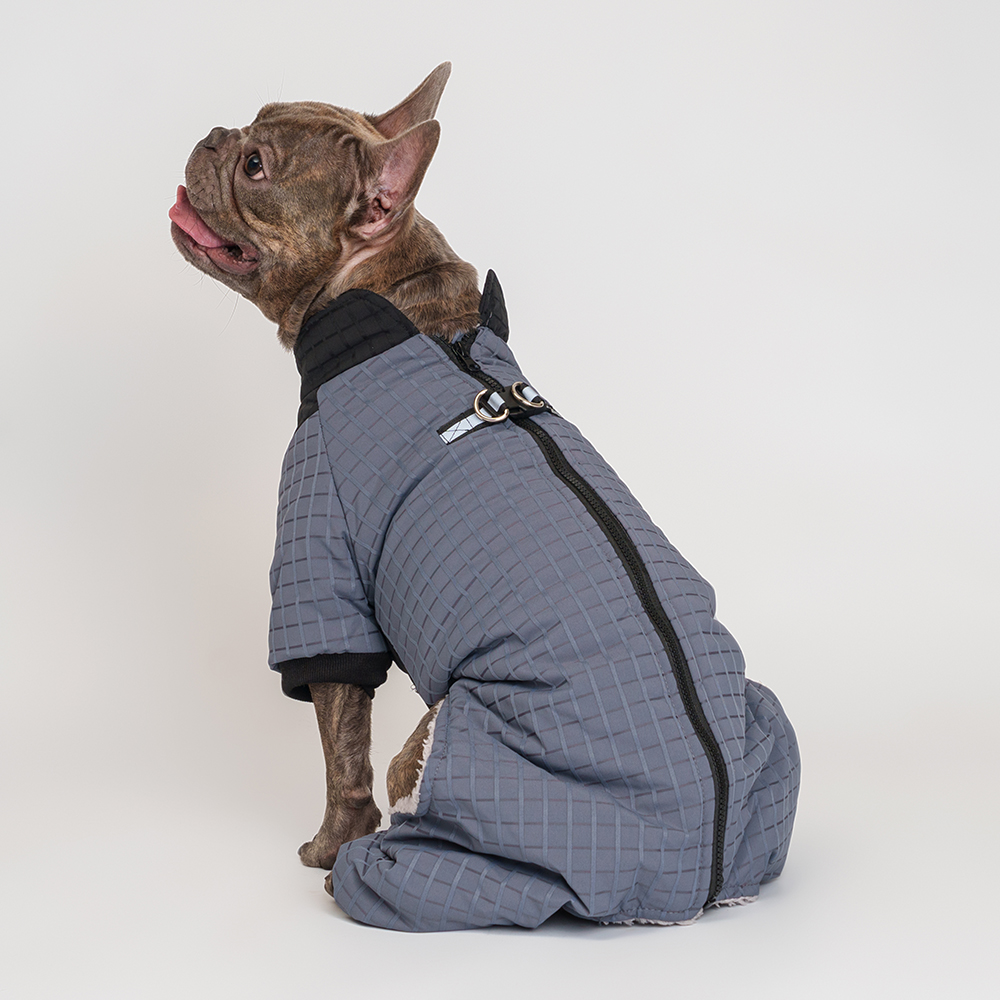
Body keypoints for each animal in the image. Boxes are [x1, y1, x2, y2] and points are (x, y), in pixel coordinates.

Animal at [170, 64, 800, 931]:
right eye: (252, 120)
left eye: (257, 166)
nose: (213, 136)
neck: (406, 303)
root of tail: (691, 887)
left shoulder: (320, 560)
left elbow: (341, 748)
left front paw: (326, 847)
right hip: (761, 717)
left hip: (443, 735)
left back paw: (363, 869)